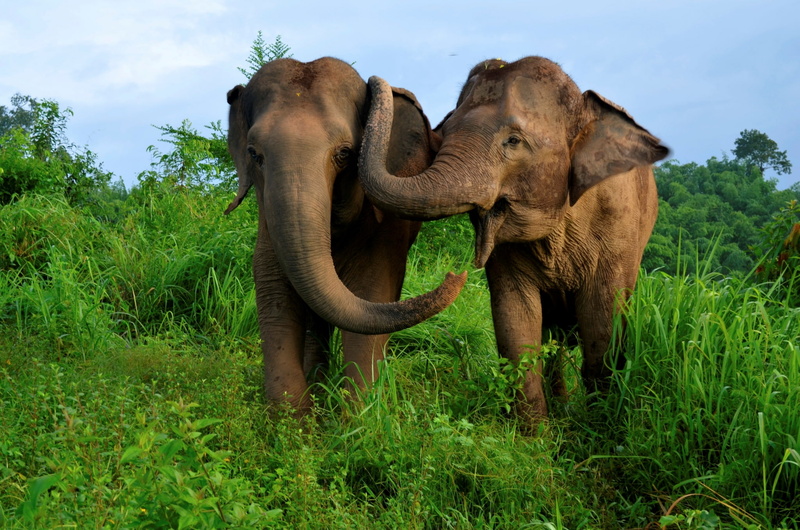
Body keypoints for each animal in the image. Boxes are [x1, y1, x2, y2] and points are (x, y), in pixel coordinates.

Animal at [225, 57, 466, 414]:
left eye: (345, 154)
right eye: (254, 154)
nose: (456, 274)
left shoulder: (384, 228)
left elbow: (372, 291)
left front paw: (358, 415)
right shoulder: (267, 219)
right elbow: (274, 290)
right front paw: (293, 420)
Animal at [359, 56, 669, 425]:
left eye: (513, 141)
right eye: (443, 134)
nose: (383, 83)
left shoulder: (618, 228)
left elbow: (603, 323)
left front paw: (598, 426)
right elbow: (515, 318)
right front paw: (536, 434)